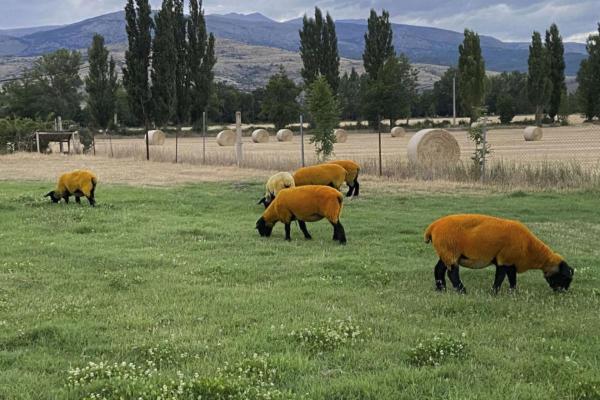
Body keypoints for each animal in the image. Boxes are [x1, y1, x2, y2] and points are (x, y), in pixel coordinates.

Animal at [424, 212, 576, 294]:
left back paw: (441, 289)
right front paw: (494, 293)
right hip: (451, 251)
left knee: (439, 270)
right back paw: (462, 291)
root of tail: (432, 227)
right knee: (452, 273)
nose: (563, 292)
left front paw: (512, 293)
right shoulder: (504, 259)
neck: (530, 248)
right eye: (565, 277)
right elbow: (500, 277)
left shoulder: (510, 262)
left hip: (445, 252)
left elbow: (512, 278)